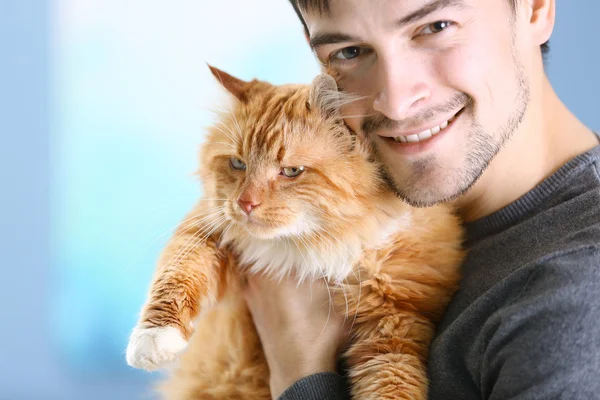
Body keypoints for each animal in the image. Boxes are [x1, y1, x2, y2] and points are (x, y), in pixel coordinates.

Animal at [125, 66, 464, 400]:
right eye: (238, 164)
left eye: (291, 171)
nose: (245, 204)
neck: (310, 248)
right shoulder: (208, 231)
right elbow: (178, 275)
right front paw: (154, 338)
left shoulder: (395, 322)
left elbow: (392, 382)